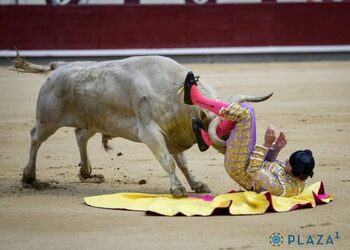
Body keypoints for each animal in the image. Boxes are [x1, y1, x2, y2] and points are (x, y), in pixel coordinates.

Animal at [15, 54, 272, 197]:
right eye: (224, 132)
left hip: (94, 120)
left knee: (80, 136)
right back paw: (29, 176)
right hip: (48, 119)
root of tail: (58, 67)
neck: (178, 93)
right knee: (36, 137)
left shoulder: (173, 134)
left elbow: (183, 163)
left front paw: (197, 184)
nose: (246, 161)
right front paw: (177, 189)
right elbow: (169, 162)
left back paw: (86, 172)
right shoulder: (151, 133)